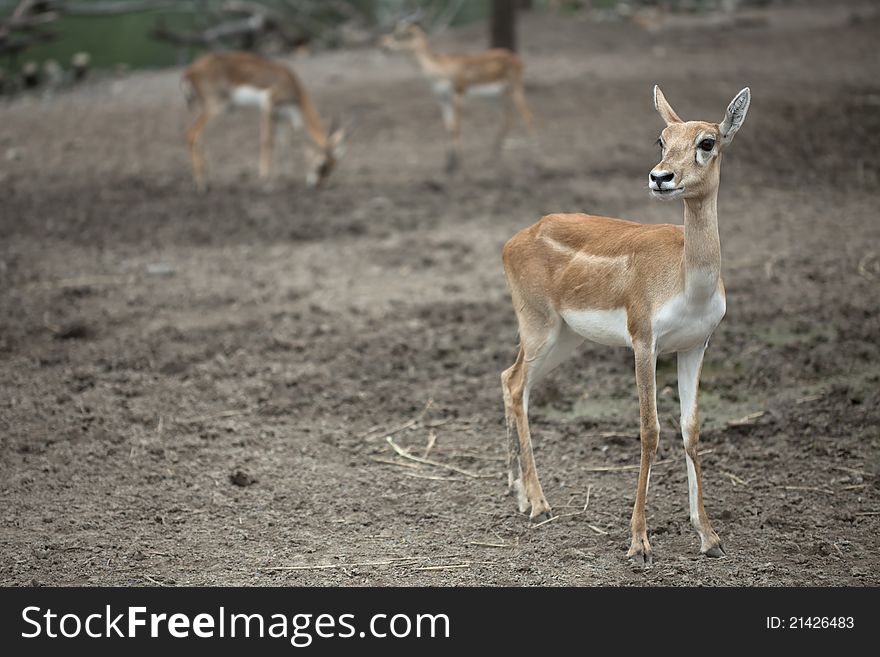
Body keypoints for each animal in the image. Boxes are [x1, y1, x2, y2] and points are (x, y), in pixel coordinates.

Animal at [180, 51, 348, 191]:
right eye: (322, 164)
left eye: (333, 166)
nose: (316, 186)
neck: (291, 83)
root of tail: (190, 72)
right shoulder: (268, 106)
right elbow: (267, 141)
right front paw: (267, 182)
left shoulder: (280, 116)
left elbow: (284, 143)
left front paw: (285, 177)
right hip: (216, 108)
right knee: (191, 134)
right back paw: (201, 185)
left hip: (209, 110)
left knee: (199, 139)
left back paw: (207, 181)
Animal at [376, 21, 528, 172]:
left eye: (399, 35)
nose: (383, 43)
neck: (441, 68)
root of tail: (517, 58)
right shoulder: (443, 99)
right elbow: (448, 128)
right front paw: (448, 165)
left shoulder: (458, 94)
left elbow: (456, 128)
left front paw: (457, 165)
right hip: (494, 99)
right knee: (507, 120)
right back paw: (491, 160)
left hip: (515, 91)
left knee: (528, 117)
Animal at [502, 83, 748, 564]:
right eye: (661, 139)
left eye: (707, 142)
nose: (660, 177)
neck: (688, 279)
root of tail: (514, 239)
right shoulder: (643, 341)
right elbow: (649, 430)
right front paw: (639, 542)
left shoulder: (695, 345)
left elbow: (691, 429)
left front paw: (709, 537)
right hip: (539, 326)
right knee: (517, 383)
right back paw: (539, 504)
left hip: (564, 337)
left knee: (509, 378)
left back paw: (521, 496)